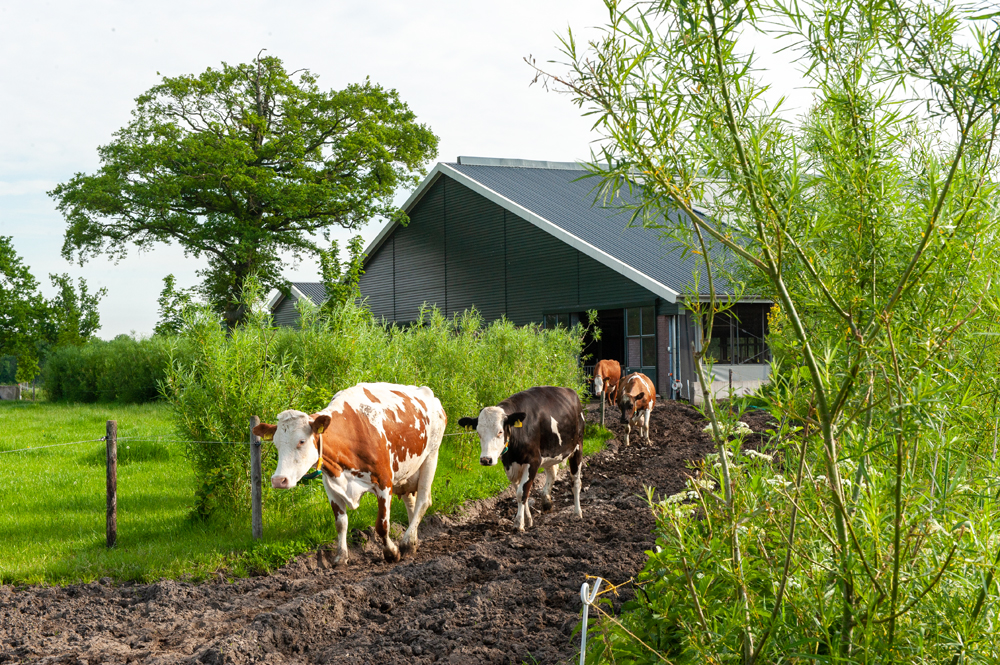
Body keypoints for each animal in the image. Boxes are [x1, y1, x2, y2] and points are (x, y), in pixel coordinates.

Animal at [254, 384, 446, 564]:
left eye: (301, 441)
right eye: (276, 444)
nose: (279, 480)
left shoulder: (384, 481)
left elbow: (382, 524)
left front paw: (391, 553)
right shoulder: (331, 485)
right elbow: (341, 523)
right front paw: (341, 557)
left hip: (431, 456)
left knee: (423, 501)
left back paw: (406, 543)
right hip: (406, 473)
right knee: (411, 503)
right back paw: (412, 543)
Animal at [460, 386, 584, 532]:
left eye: (500, 432)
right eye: (479, 433)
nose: (486, 460)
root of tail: (570, 390)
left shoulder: (533, 461)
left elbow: (522, 493)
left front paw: (519, 523)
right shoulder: (510, 466)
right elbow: (520, 492)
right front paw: (528, 520)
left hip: (577, 447)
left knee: (576, 482)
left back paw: (577, 513)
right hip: (551, 451)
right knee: (552, 473)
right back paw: (547, 502)